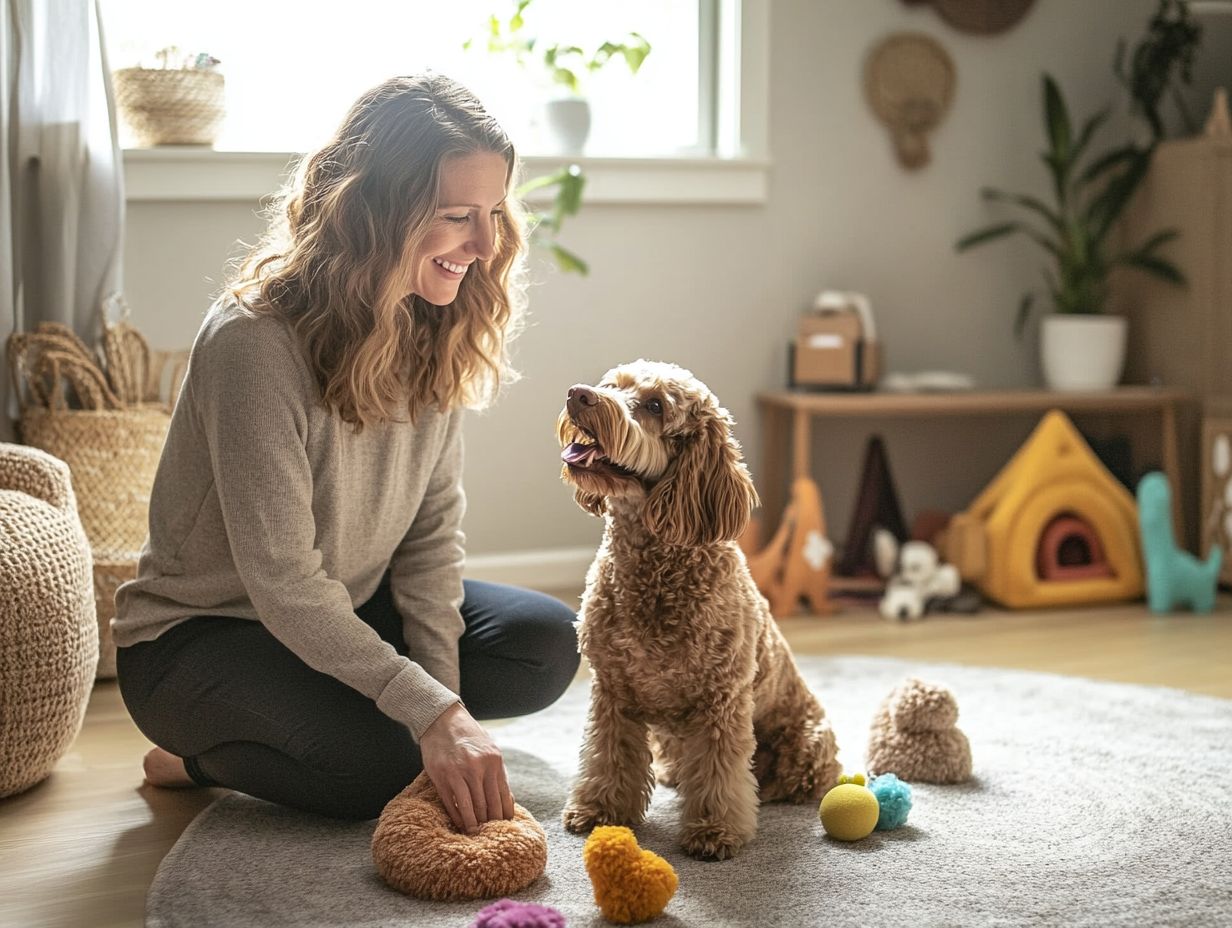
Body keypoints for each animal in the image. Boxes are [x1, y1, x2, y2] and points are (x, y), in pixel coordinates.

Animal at [556, 357, 837, 857]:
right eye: (612, 384)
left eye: (654, 406)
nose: (578, 394)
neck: (652, 566)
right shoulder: (612, 691)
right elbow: (607, 755)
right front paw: (600, 809)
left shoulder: (720, 701)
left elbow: (718, 772)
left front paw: (714, 830)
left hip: (808, 739)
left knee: (792, 775)